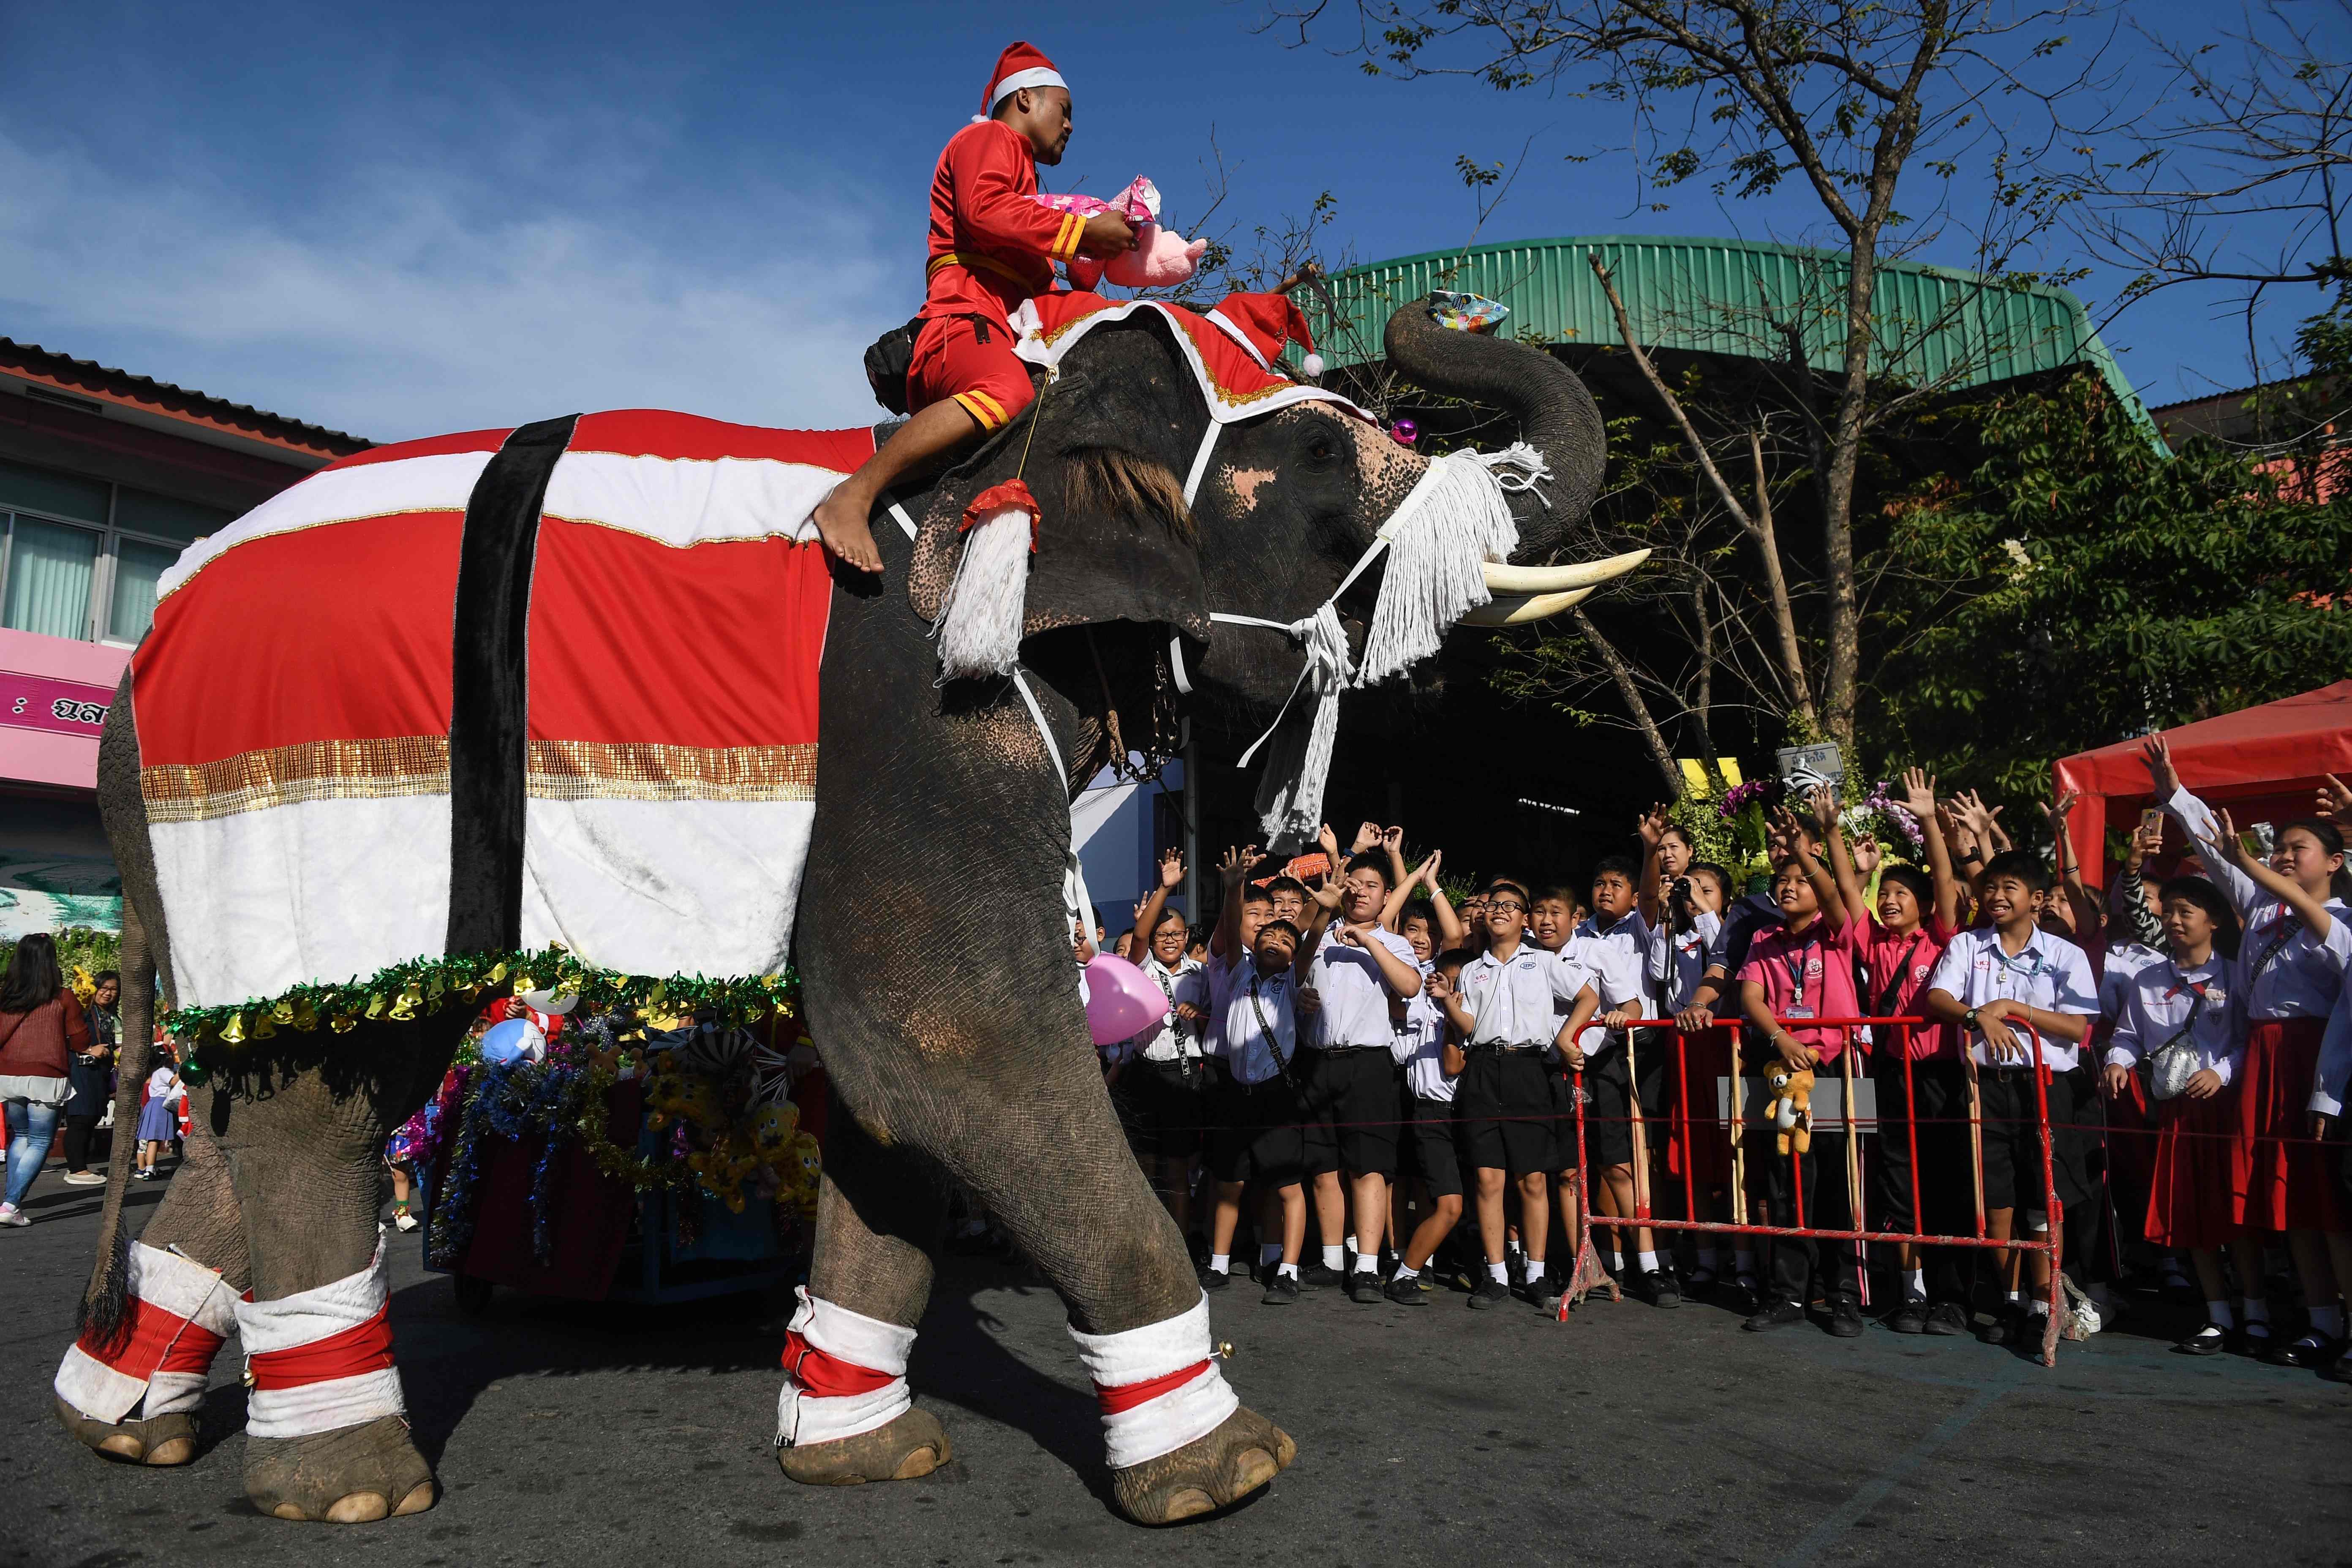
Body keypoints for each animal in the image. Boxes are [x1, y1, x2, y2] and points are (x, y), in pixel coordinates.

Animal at [46, 288, 1628, 1523]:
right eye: (1309, 455)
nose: (1448, 311)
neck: (1014, 440)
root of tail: (141, 651)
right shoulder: (912, 698)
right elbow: (940, 1038)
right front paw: (1226, 1470)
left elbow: (883, 1089)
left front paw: (868, 1456)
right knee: (329, 1095)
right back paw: (351, 1485)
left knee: (308, 1084)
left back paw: (120, 1422)